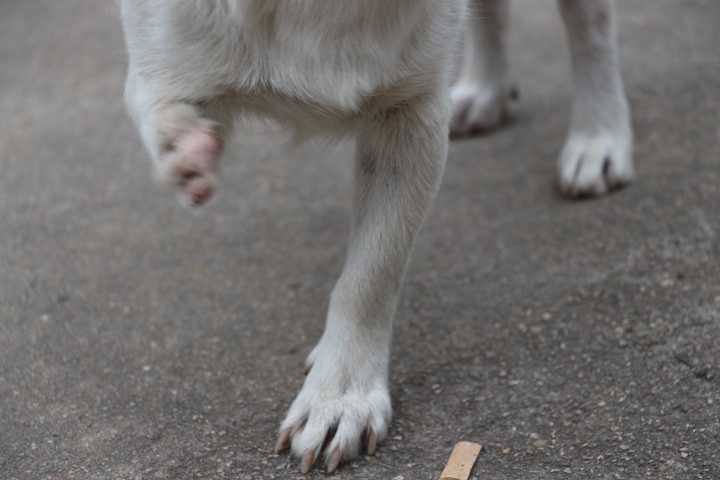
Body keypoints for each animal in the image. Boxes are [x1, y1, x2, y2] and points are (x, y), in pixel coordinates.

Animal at [121, 0, 632, 472]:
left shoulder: (411, 117)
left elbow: (369, 276)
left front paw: (340, 398)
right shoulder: (163, 70)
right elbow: (166, 111)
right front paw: (183, 148)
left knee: (591, 28)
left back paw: (598, 138)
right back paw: (486, 93)